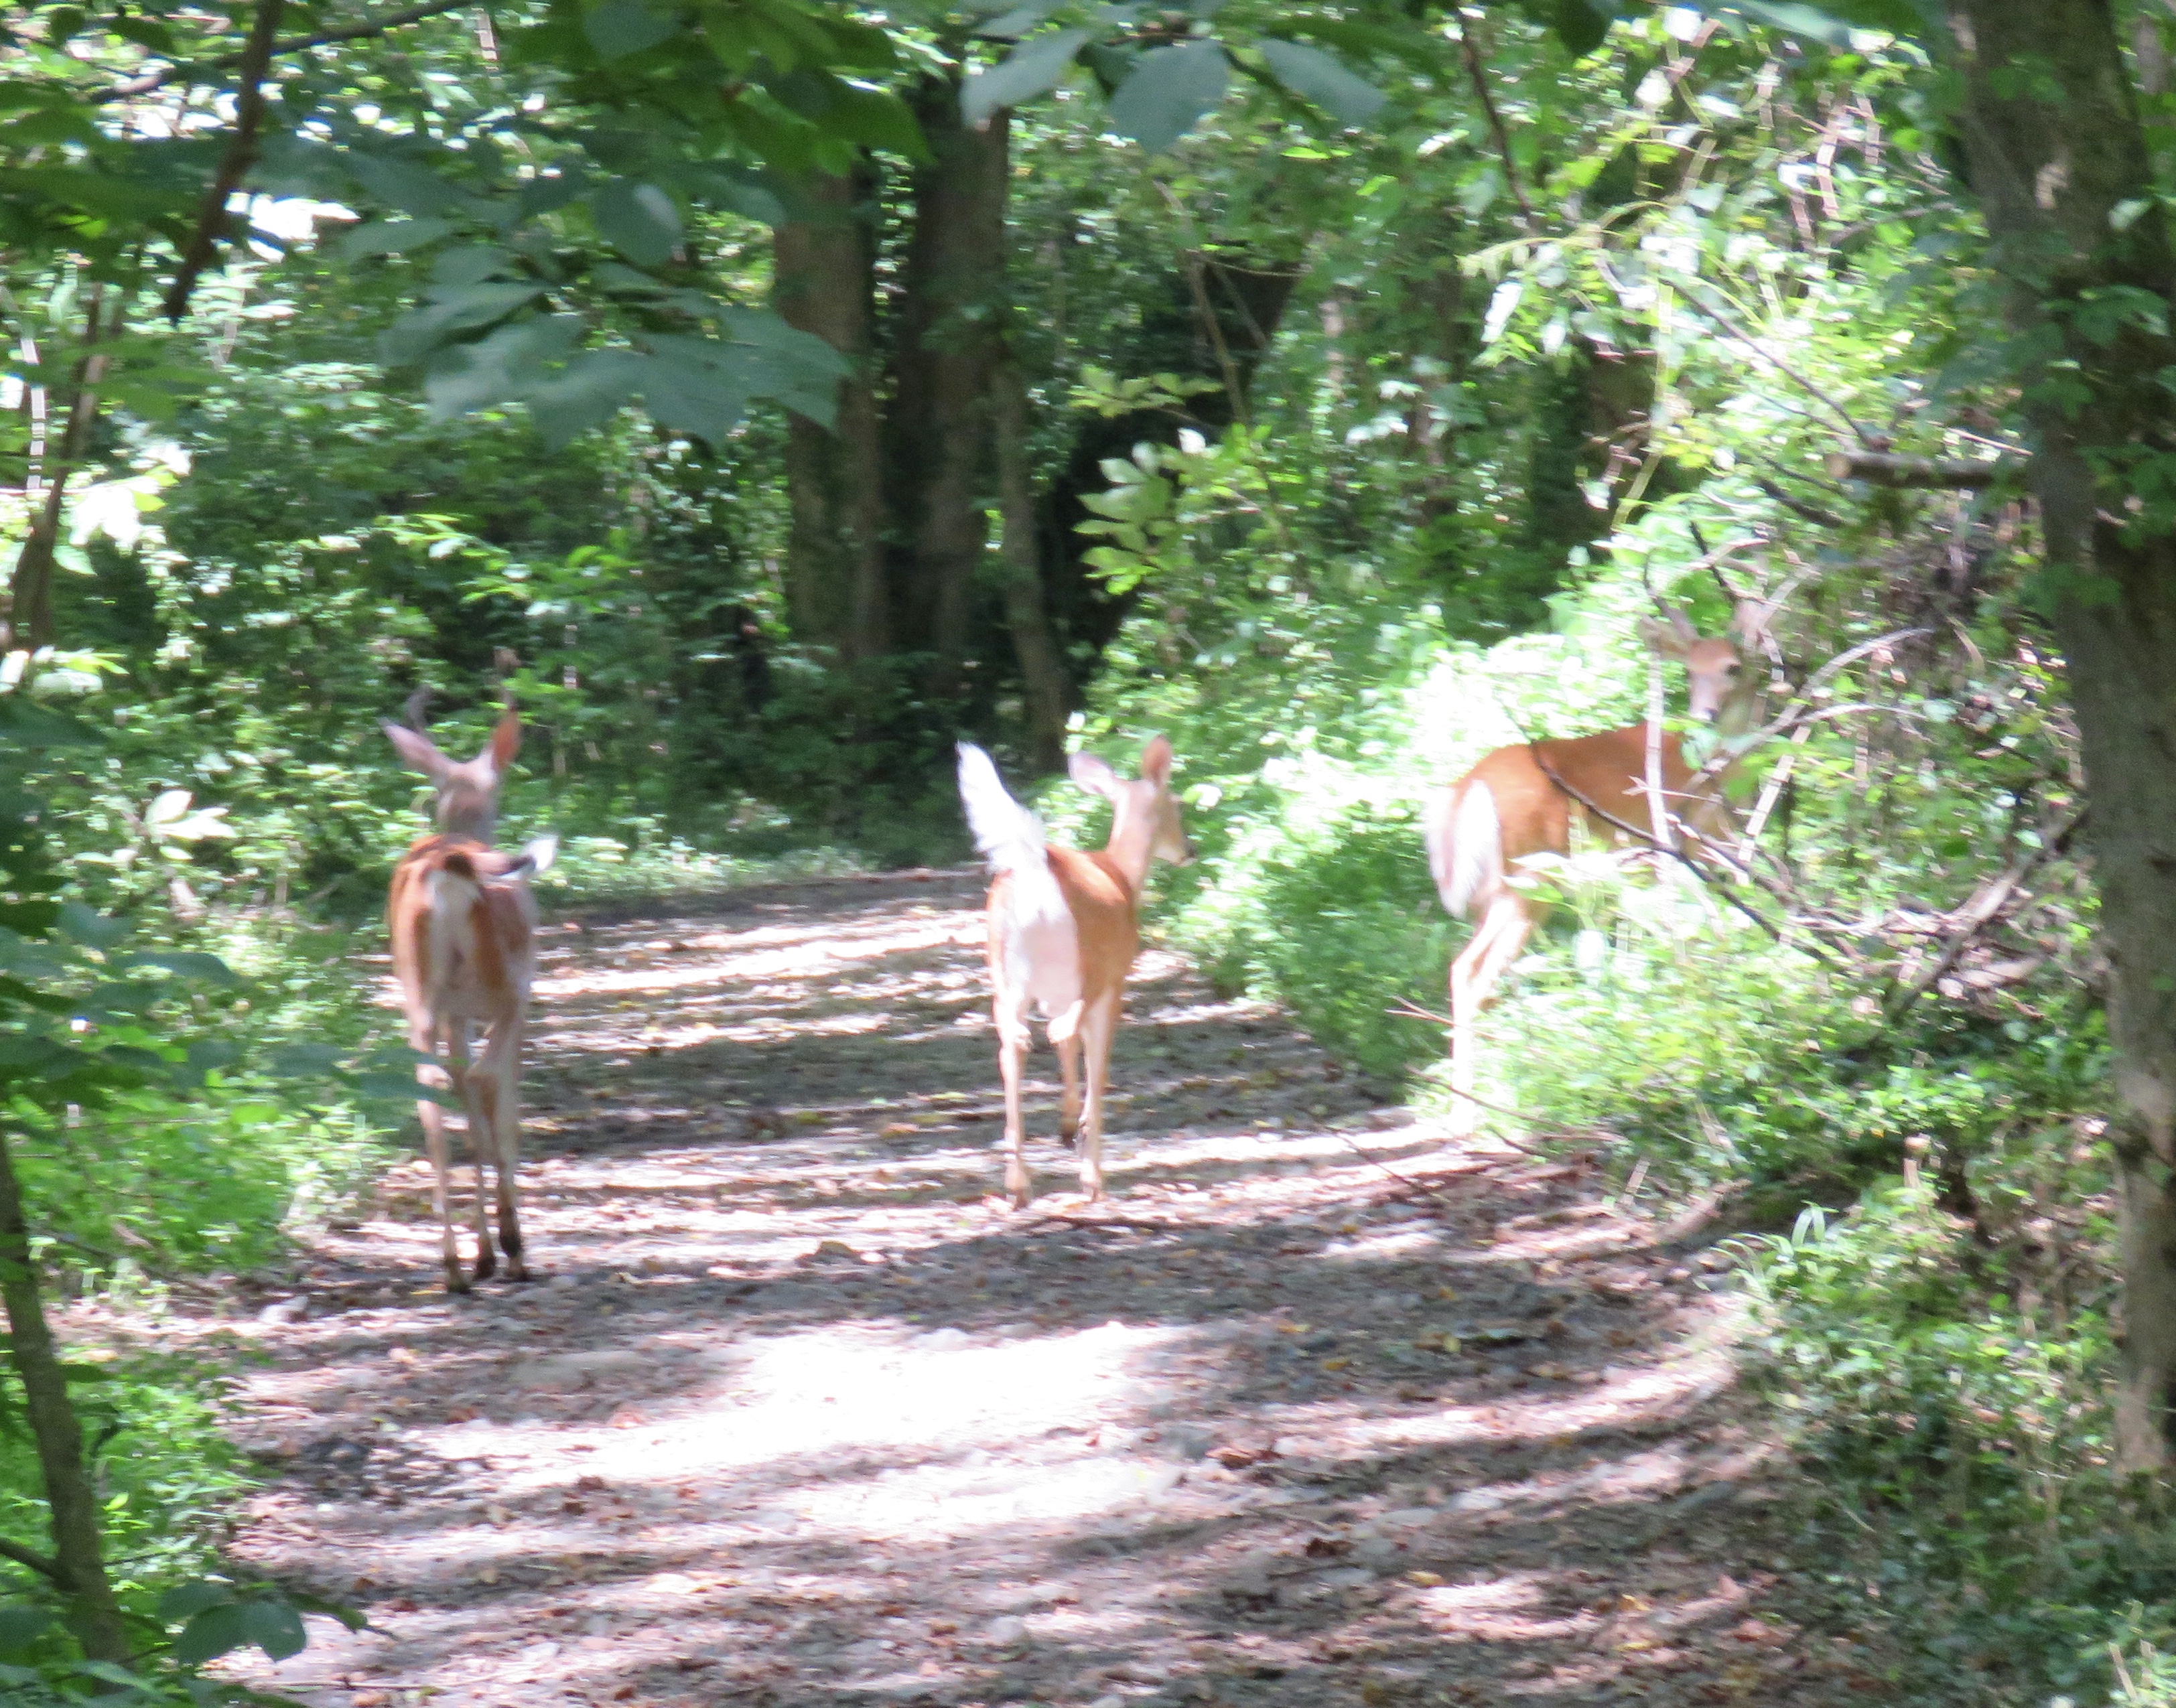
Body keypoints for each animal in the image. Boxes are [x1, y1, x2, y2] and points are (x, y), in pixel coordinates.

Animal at [384, 694, 557, 1293]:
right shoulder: (519, 998)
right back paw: (511, 1247)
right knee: (483, 1083)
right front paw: (504, 1247)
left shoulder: (455, 1015)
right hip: (502, 987)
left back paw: (455, 1265)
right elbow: (506, 1107)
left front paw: (482, 1252)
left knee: (431, 1092)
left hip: (420, 994)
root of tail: (449, 863)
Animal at [956, 736, 1193, 1210]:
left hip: (1005, 978)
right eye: (1176, 804)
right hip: (1087, 968)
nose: (1189, 851)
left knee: (1013, 1046)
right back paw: (1088, 1176)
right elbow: (1094, 1061)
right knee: (1059, 1034)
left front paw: (1066, 1130)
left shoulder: (1053, 994)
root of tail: (1035, 872)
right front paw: (1083, 1150)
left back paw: (1018, 1183)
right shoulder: (1114, 981)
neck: (1121, 874)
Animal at [1424, 601, 1772, 1136]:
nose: (1703, 714)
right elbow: (1701, 925)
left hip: (1497, 891)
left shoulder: (1648, 864)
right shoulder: (1684, 842)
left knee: (1465, 968)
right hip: (1532, 881)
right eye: (1690, 671)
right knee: (1474, 973)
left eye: (1732, 667)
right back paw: (1471, 1114)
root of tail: (1469, 788)